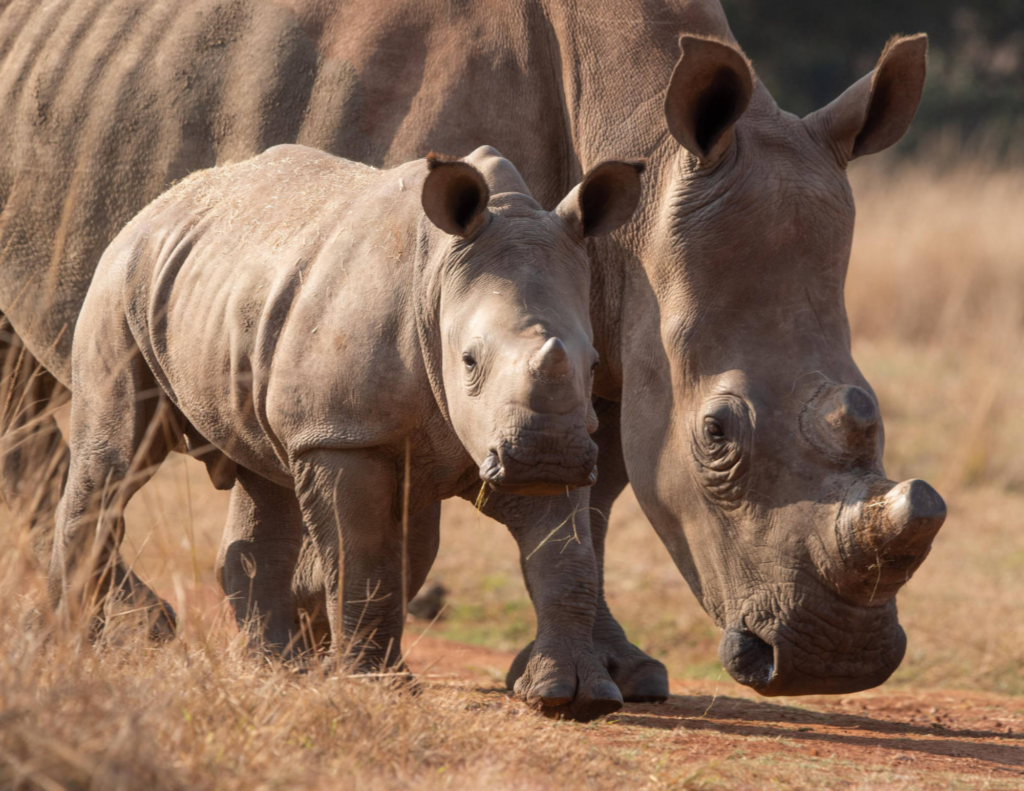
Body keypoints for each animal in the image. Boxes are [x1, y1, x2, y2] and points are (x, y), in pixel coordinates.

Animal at [51, 143, 644, 720]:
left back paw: (276, 670)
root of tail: (158, 205)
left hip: (226, 293)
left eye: (595, 364)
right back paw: (77, 643)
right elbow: (364, 554)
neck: (440, 279)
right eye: (469, 361)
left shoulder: (550, 433)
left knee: (266, 482)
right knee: (115, 458)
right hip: (120, 281)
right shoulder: (342, 433)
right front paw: (379, 689)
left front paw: (574, 697)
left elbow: (565, 559)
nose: (545, 458)